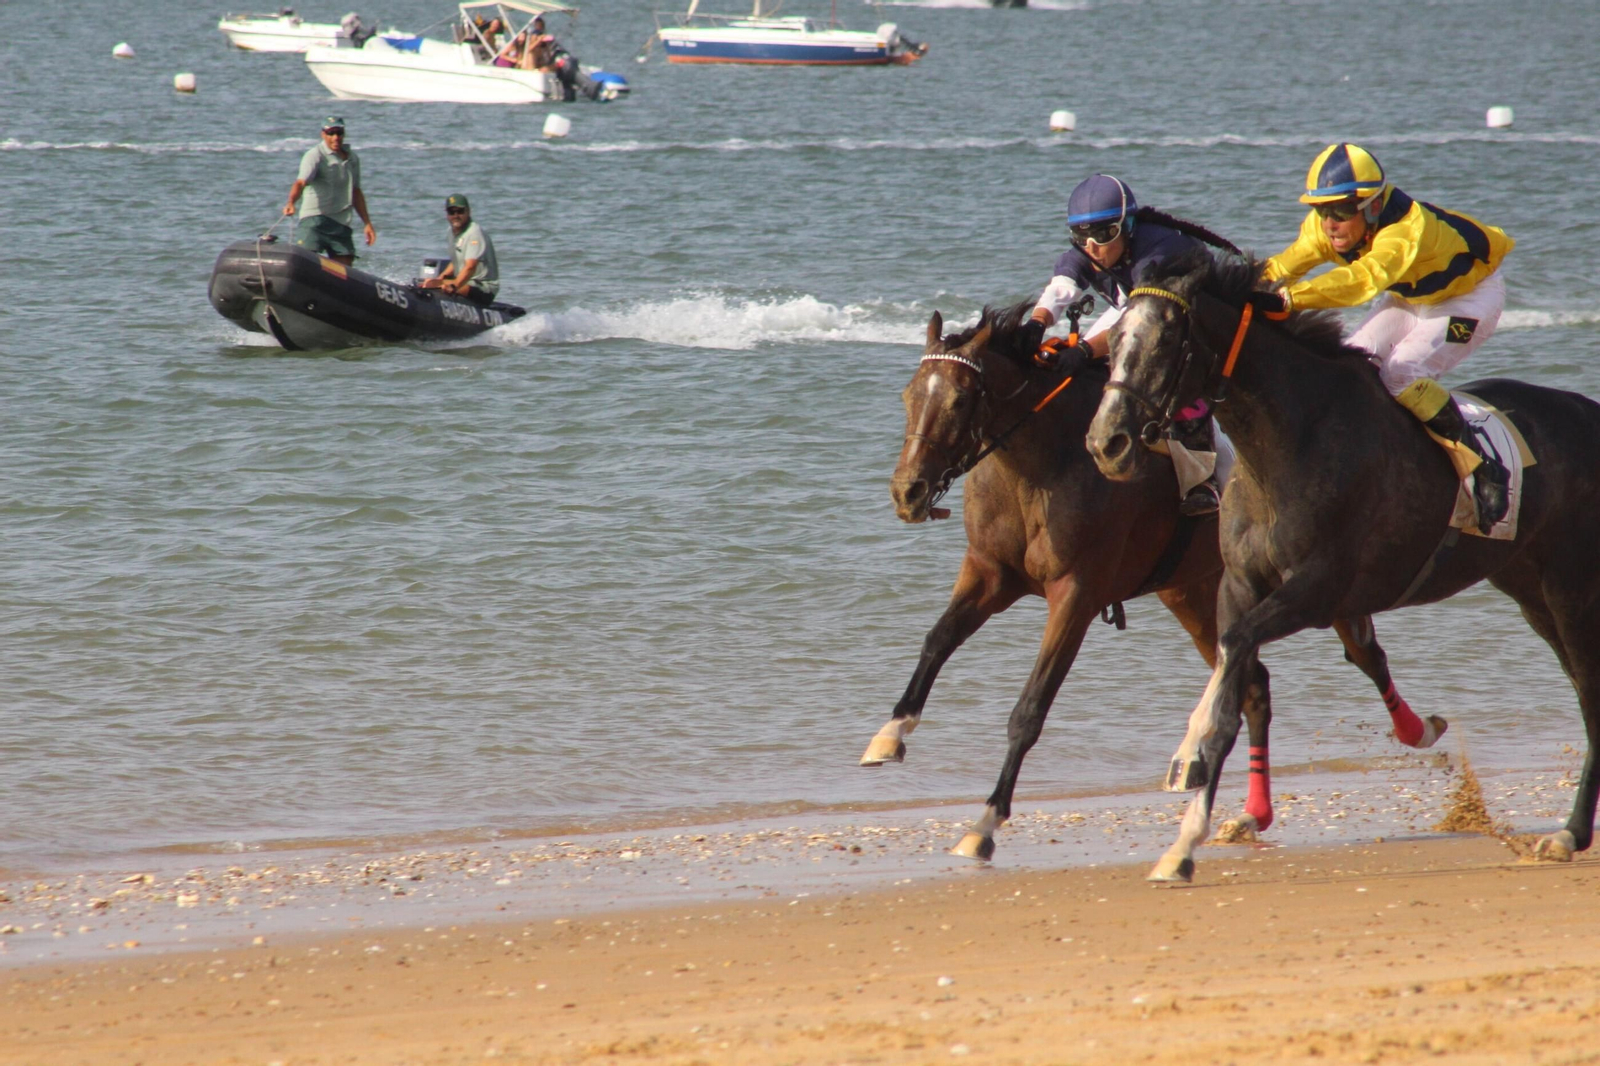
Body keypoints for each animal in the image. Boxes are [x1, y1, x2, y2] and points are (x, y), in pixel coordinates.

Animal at [869, 299, 1445, 861]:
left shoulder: (1076, 594)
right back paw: (1252, 813)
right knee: (1255, 685)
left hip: (1323, 583)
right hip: (1195, 593)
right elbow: (937, 639)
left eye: (960, 400)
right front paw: (889, 734)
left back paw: (1418, 730)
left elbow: (1030, 708)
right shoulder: (989, 571)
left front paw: (985, 823)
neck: (1039, 464)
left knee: (1366, 655)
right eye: (907, 396)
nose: (908, 491)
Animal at [1085, 251, 1600, 883]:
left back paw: (1570, 833)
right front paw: (1183, 843)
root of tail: (1588, 412)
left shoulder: (1318, 589)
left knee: (1590, 692)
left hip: (1571, 585)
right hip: (1529, 586)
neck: (1289, 442)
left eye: (1163, 342)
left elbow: (1233, 669)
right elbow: (1237, 680)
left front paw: (1189, 757)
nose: (1105, 443)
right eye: (1113, 342)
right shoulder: (1239, 585)